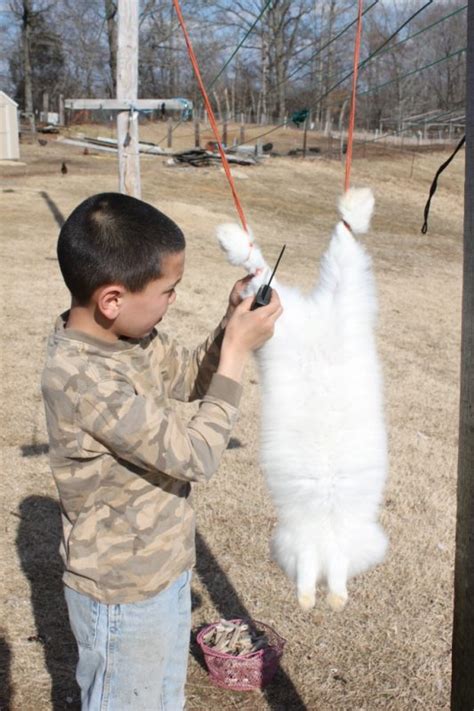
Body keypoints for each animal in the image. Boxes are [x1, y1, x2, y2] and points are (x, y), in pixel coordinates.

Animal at [217, 187, 388, 611]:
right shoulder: (311, 551)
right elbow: (315, 573)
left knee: (312, 249)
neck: (326, 529)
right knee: (273, 263)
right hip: (333, 295)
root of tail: (315, 316)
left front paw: (328, 599)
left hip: (338, 294)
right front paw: (318, 599)